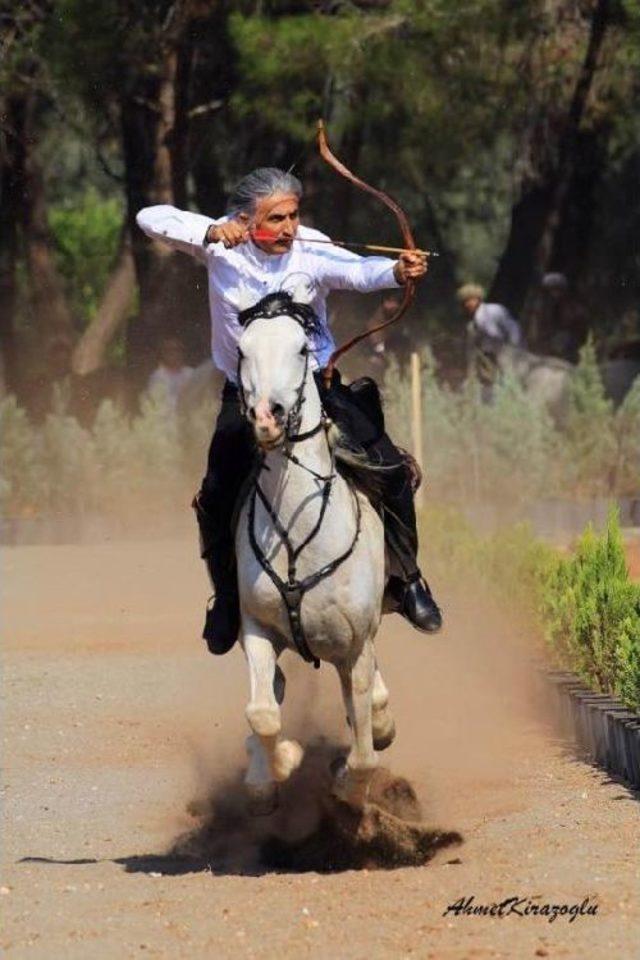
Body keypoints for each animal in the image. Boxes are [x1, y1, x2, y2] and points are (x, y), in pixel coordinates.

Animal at [235, 290, 396, 808]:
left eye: (302, 348)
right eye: (242, 350)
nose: (267, 418)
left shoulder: (355, 646)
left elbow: (364, 754)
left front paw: (346, 780)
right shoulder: (257, 629)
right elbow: (263, 713)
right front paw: (281, 763)